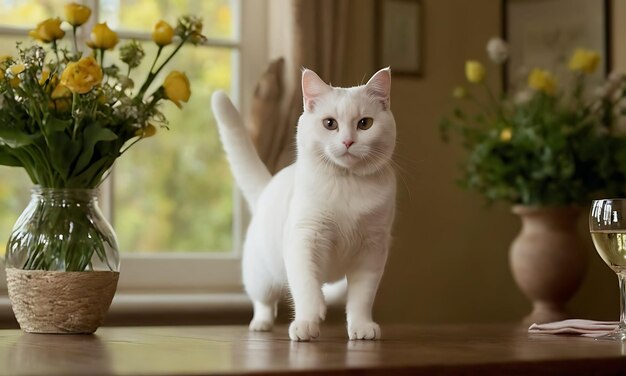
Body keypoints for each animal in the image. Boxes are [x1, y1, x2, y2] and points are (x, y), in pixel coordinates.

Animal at [211, 67, 394, 340]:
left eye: (365, 123)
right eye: (330, 123)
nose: (348, 141)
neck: (347, 184)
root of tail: (267, 189)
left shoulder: (372, 251)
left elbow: (362, 298)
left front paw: (361, 327)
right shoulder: (305, 239)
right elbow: (306, 287)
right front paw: (307, 323)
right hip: (261, 277)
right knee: (264, 302)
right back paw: (261, 324)